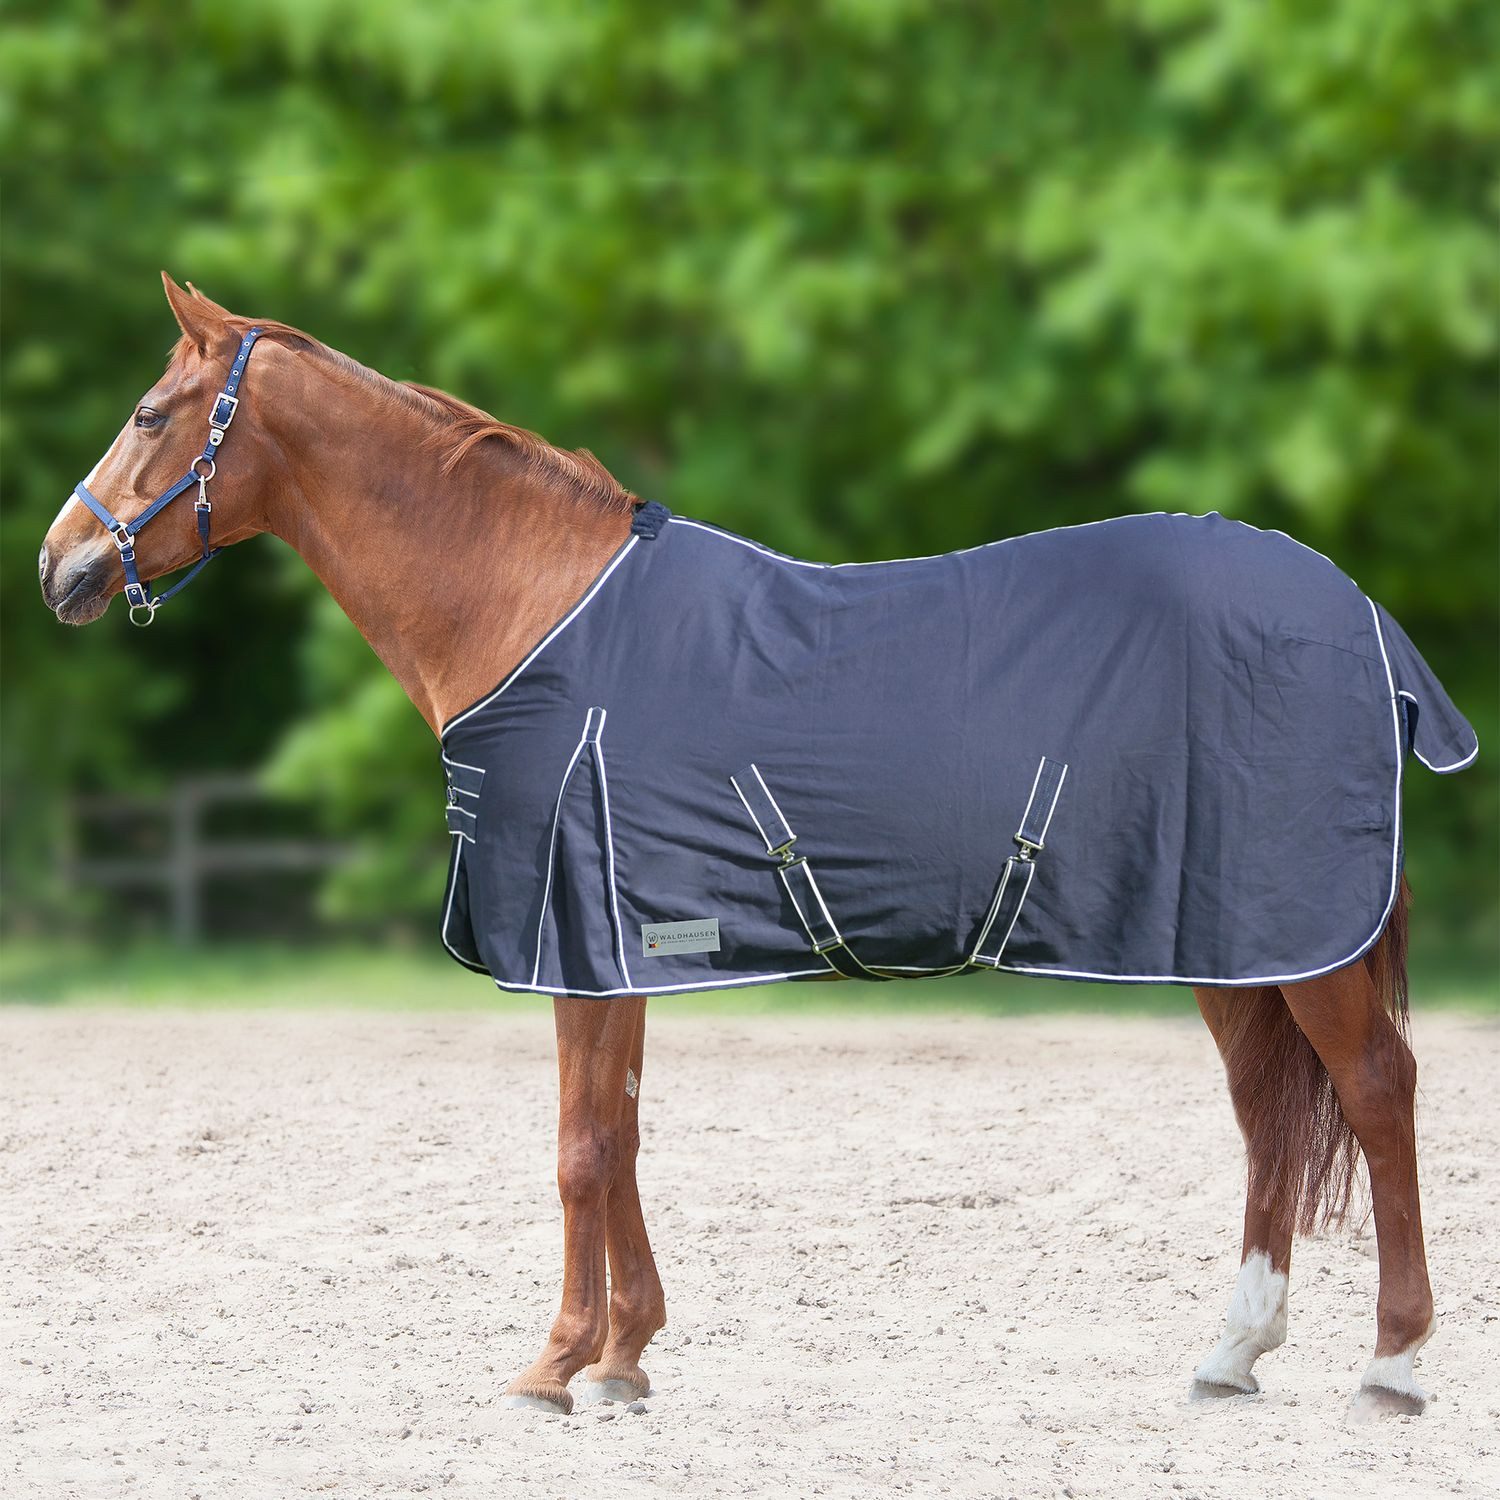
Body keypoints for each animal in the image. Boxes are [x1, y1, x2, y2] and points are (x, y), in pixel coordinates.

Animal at [39, 274, 1473, 1419]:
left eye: (153, 414)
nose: (60, 568)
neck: (534, 610)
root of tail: (1359, 616)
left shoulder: (578, 942)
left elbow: (578, 1149)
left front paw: (556, 1364)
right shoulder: (616, 952)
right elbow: (617, 1137)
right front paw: (626, 1357)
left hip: (1296, 939)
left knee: (1378, 1089)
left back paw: (1395, 1364)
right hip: (1224, 935)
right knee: (1268, 1115)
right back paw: (1235, 1351)